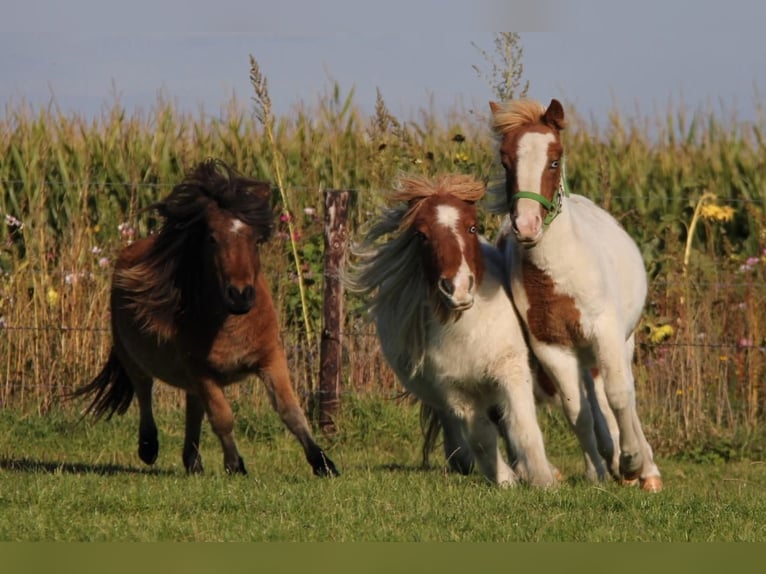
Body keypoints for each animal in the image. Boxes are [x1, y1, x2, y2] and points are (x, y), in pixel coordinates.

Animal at [73, 160, 340, 480]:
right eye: (212, 238)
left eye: (256, 239)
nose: (240, 295)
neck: (230, 323)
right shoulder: (201, 371)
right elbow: (222, 417)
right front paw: (235, 465)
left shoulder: (270, 358)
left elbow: (290, 411)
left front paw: (323, 462)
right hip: (133, 357)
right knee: (145, 391)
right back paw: (149, 447)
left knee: (192, 407)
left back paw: (193, 461)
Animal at [492, 100, 664, 496]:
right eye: (505, 161)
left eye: (555, 159)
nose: (526, 226)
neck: (559, 272)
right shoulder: (552, 347)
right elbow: (577, 412)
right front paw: (601, 472)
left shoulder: (606, 332)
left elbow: (619, 395)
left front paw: (632, 463)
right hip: (583, 355)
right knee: (592, 400)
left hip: (620, 343)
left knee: (622, 394)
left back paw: (644, 469)